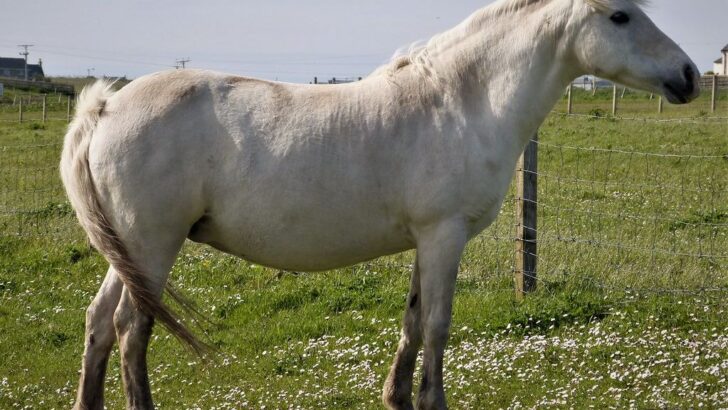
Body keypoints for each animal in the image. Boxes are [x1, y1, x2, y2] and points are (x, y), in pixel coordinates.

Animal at [60, 0, 699, 408]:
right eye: (619, 16)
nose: (690, 74)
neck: (458, 101)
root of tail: (105, 108)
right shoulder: (445, 236)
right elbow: (437, 327)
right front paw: (432, 400)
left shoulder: (427, 241)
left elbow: (413, 324)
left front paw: (397, 396)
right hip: (152, 245)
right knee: (130, 328)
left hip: (127, 250)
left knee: (97, 324)